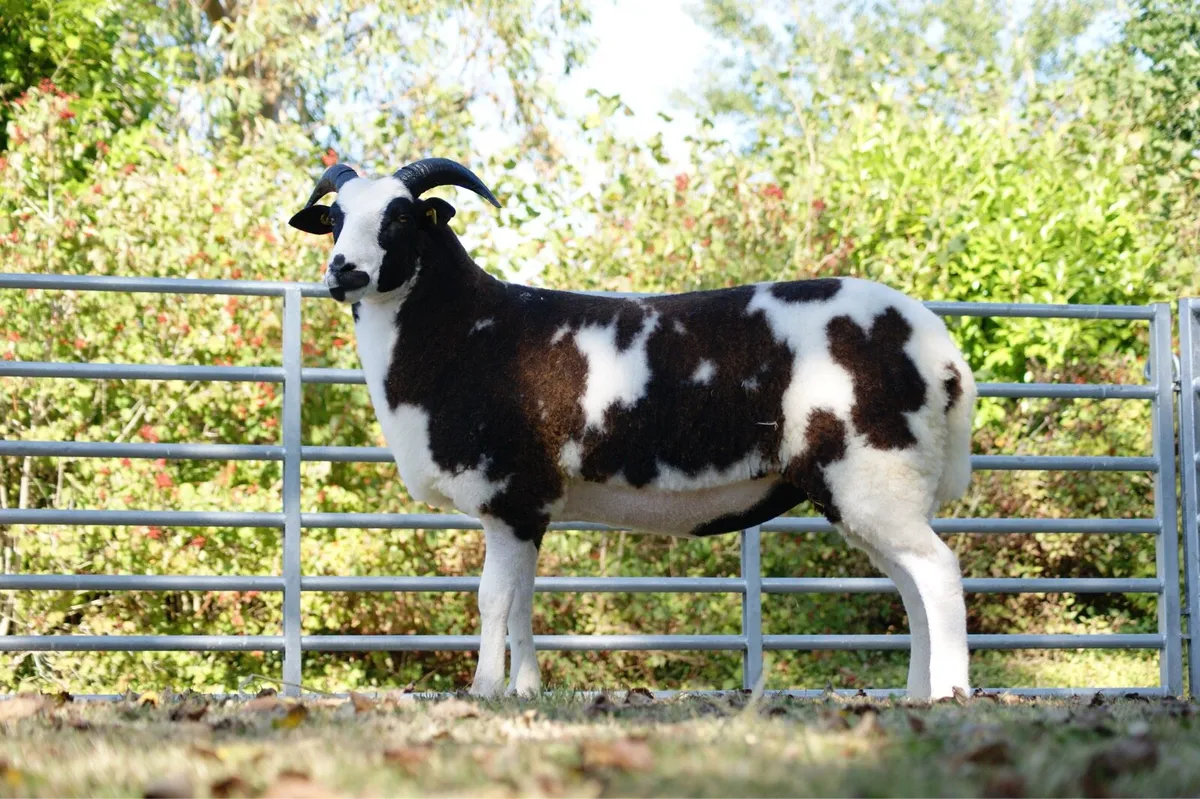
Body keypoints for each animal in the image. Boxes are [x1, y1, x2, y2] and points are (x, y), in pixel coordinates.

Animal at [288, 158, 978, 700]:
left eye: (402, 217)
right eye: (335, 218)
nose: (343, 271)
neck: (462, 331)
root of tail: (941, 349)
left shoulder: (507, 492)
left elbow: (492, 601)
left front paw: (483, 692)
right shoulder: (530, 508)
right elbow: (523, 604)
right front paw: (527, 693)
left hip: (875, 471)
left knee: (938, 573)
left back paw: (949, 696)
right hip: (877, 486)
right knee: (912, 587)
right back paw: (917, 696)